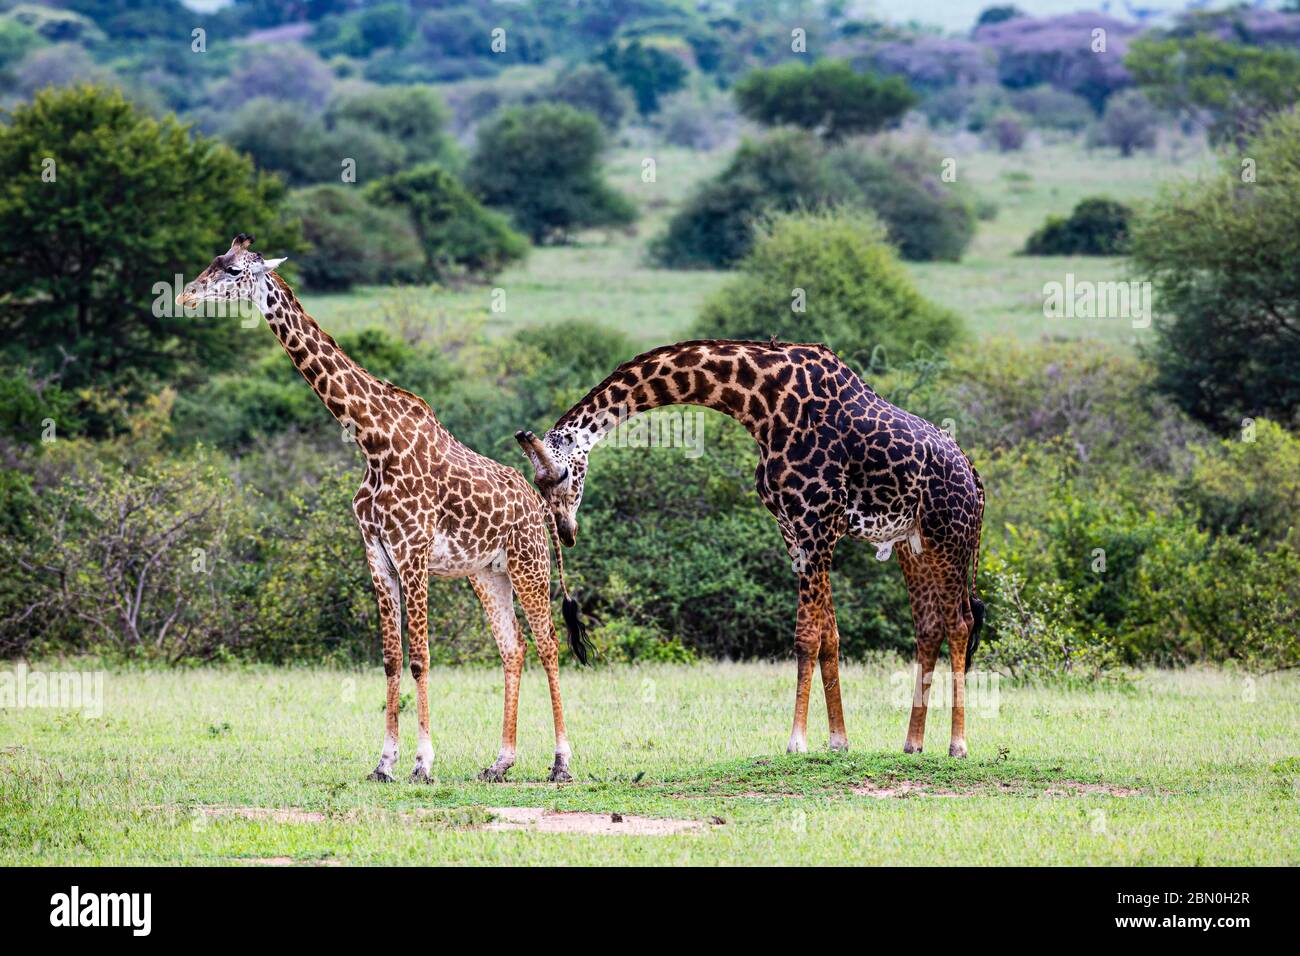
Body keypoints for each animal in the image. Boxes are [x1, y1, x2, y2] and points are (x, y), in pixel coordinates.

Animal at [178, 234, 595, 785]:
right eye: (212, 261)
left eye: (232, 270)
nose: (185, 295)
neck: (372, 442)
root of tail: (539, 503)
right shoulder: (377, 553)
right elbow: (392, 658)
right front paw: (384, 762)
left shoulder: (412, 552)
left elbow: (420, 657)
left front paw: (422, 763)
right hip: (488, 573)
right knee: (514, 647)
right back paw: (501, 761)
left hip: (530, 562)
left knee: (547, 644)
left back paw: (561, 762)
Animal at [517, 340, 982, 759]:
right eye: (537, 483)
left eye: (562, 475)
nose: (566, 531)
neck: (760, 403)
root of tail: (975, 478)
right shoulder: (794, 531)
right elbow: (829, 635)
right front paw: (837, 741)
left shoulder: (817, 524)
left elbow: (806, 636)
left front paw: (797, 742)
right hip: (912, 545)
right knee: (928, 627)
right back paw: (913, 744)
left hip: (951, 536)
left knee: (960, 623)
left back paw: (958, 745)